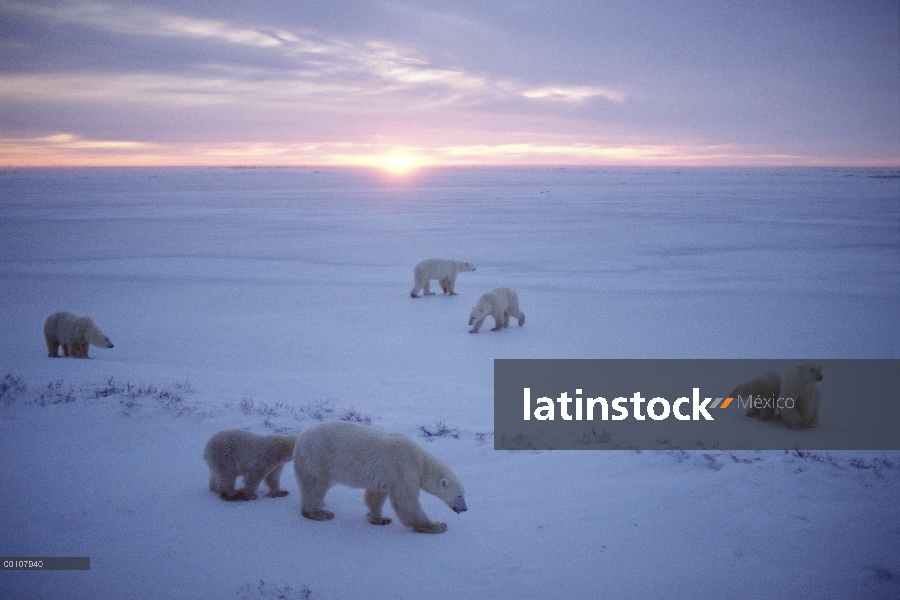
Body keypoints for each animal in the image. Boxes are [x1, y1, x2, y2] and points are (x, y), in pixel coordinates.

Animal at [294, 420, 468, 532]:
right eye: (459, 495)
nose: (465, 509)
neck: (420, 461)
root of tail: (300, 439)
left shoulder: (387, 475)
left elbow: (375, 496)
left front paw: (380, 519)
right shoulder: (403, 467)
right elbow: (406, 501)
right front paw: (437, 525)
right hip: (318, 458)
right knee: (315, 486)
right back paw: (319, 513)